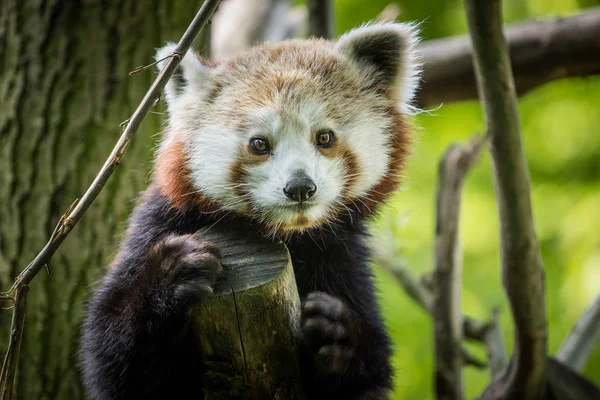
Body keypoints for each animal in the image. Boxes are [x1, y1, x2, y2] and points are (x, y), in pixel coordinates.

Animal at [81, 22, 422, 400]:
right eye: (259, 144)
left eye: (325, 138)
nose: (300, 187)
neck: (286, 235)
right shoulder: (160, 222)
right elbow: (114, 363)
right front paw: (173, 274)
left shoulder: (340, 255)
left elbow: (368, 376)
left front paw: (338, 335)